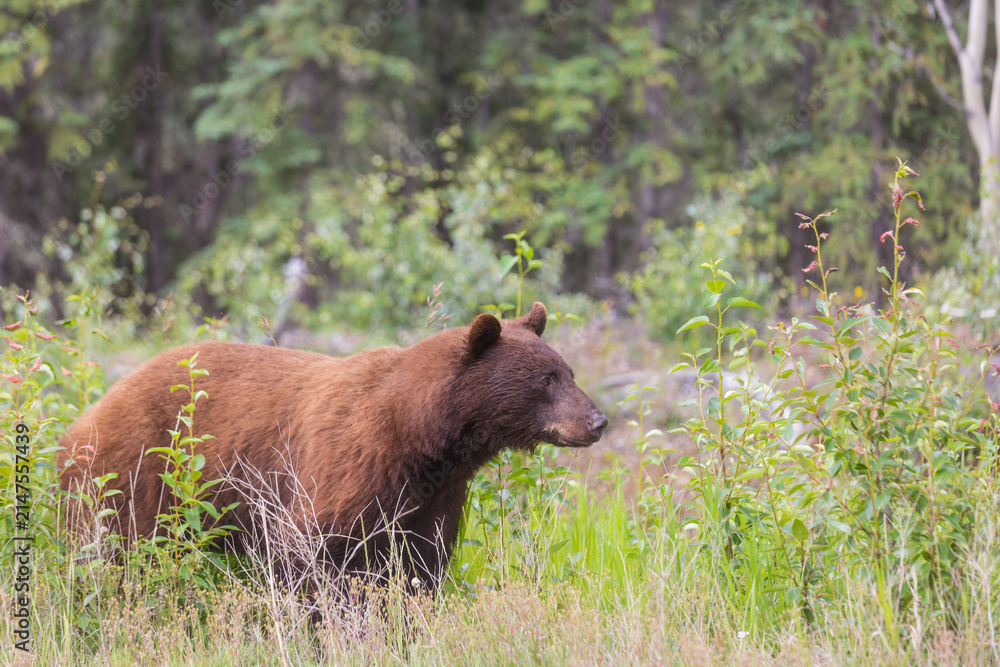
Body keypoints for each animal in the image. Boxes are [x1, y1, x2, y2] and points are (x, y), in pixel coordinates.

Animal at [59, 302, 607, 592]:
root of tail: (81, 422)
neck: (420, 437)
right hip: (134, 476)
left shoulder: (433, 498)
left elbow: (420, 568)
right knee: (118, 547)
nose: (597, 421)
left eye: (569, 371)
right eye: (545, 379)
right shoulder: (345, 469)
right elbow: (306, 554)